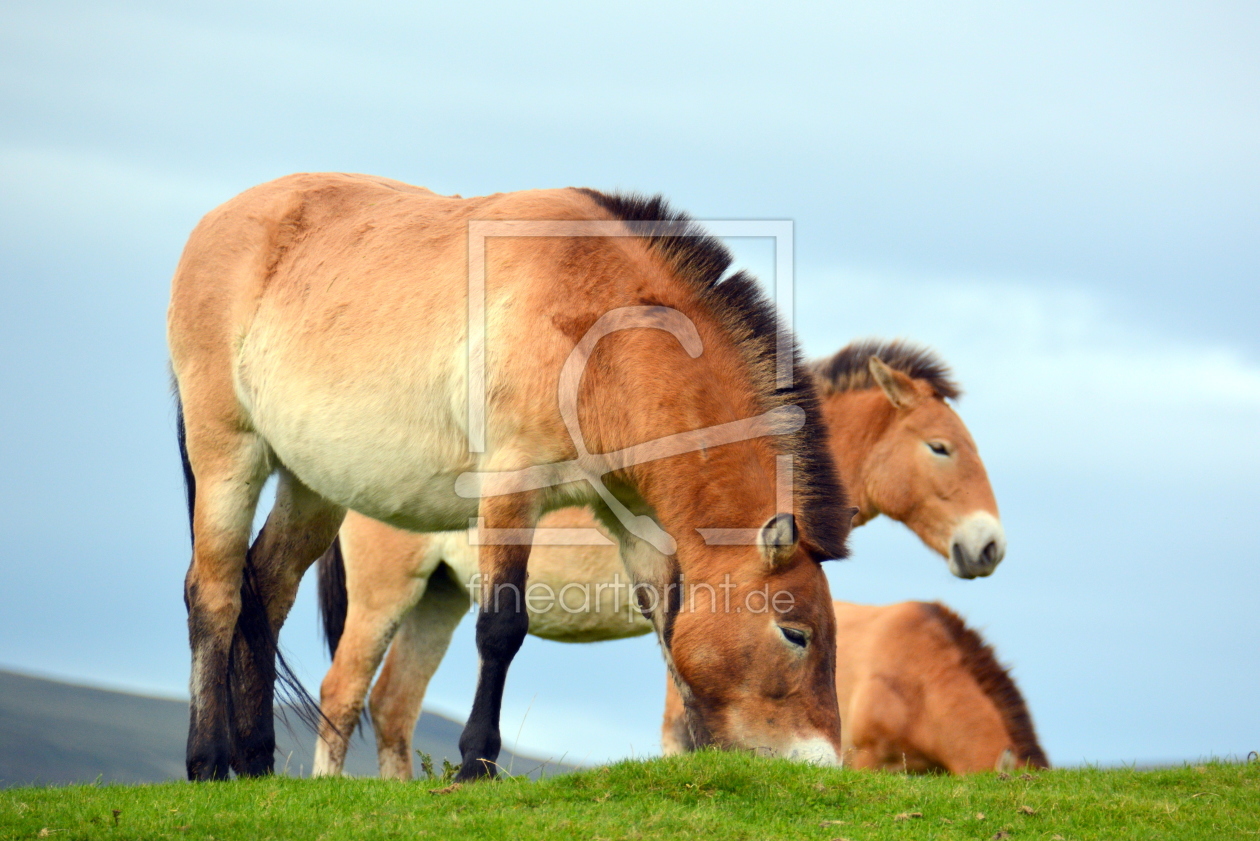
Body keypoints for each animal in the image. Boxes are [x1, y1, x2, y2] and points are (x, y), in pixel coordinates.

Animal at [167, 174, 851, 786]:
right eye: (795, 634)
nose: (821, 765)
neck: (595, 335)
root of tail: (213, 223)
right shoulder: (509, 489)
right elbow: (501, 628)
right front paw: (477, 764)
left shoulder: (637, 524)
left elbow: (669, 632)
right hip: (228, 454)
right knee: (215, 593)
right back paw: (208, 762)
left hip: (312, 486)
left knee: (267, 586)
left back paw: (256, 762)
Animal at [309, 337, 997, 781]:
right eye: (941, 448)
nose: (989, 545)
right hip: (387, 595)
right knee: (342, 692)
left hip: (441, 597)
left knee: (392, 706)